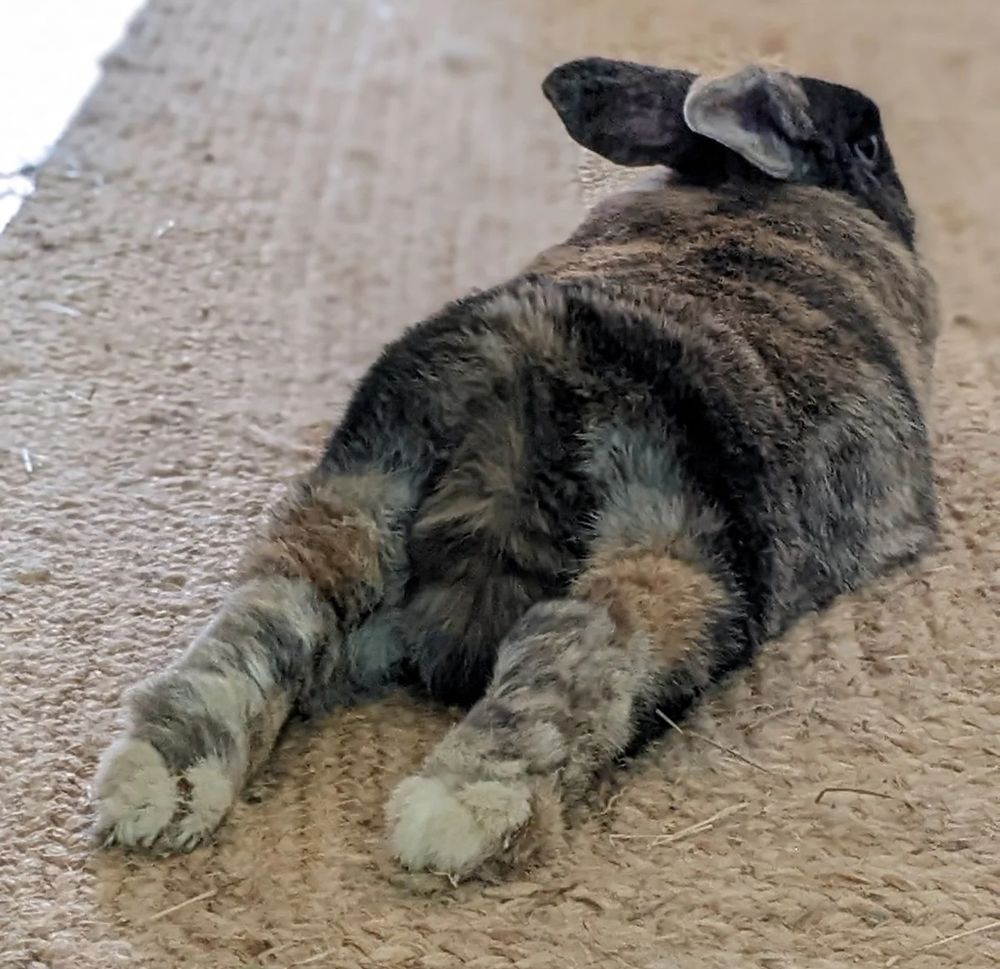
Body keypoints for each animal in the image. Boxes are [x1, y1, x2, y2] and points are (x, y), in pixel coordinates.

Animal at [92, 57, 940, 880]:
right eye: (868, 143)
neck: (742, 186)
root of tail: (534, 355)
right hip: (675, 555)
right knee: (583, 640)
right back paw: (463, 810)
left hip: (357, 499)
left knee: (274, 611)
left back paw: (159, 783)